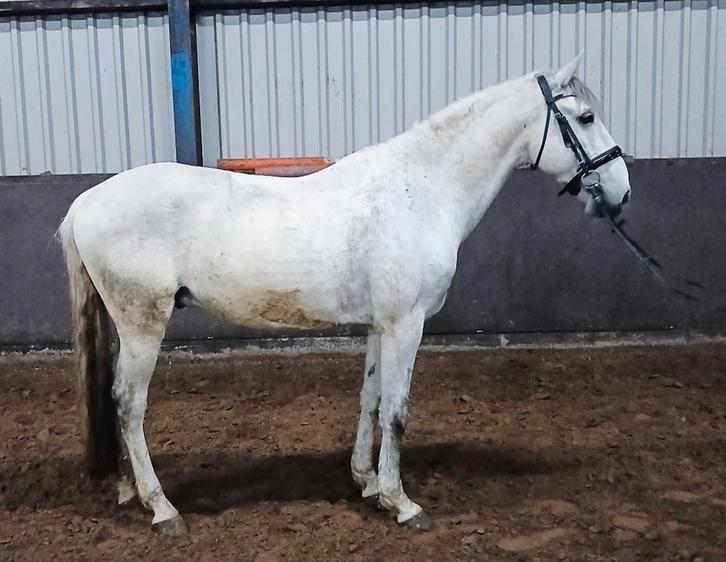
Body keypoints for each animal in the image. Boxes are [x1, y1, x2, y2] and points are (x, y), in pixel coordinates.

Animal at [58, 51, 631, 535]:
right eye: (584, 118)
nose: (622, 192)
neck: (422, 190)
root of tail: (85, 202)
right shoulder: (407, 324)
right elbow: (397, 410)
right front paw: (403, 504)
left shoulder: (381, 324)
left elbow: (371, 400)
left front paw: (367, 482)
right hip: (143, 326)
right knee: (129, 404)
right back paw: (162, 508)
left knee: (115, 402)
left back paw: (130, 491)